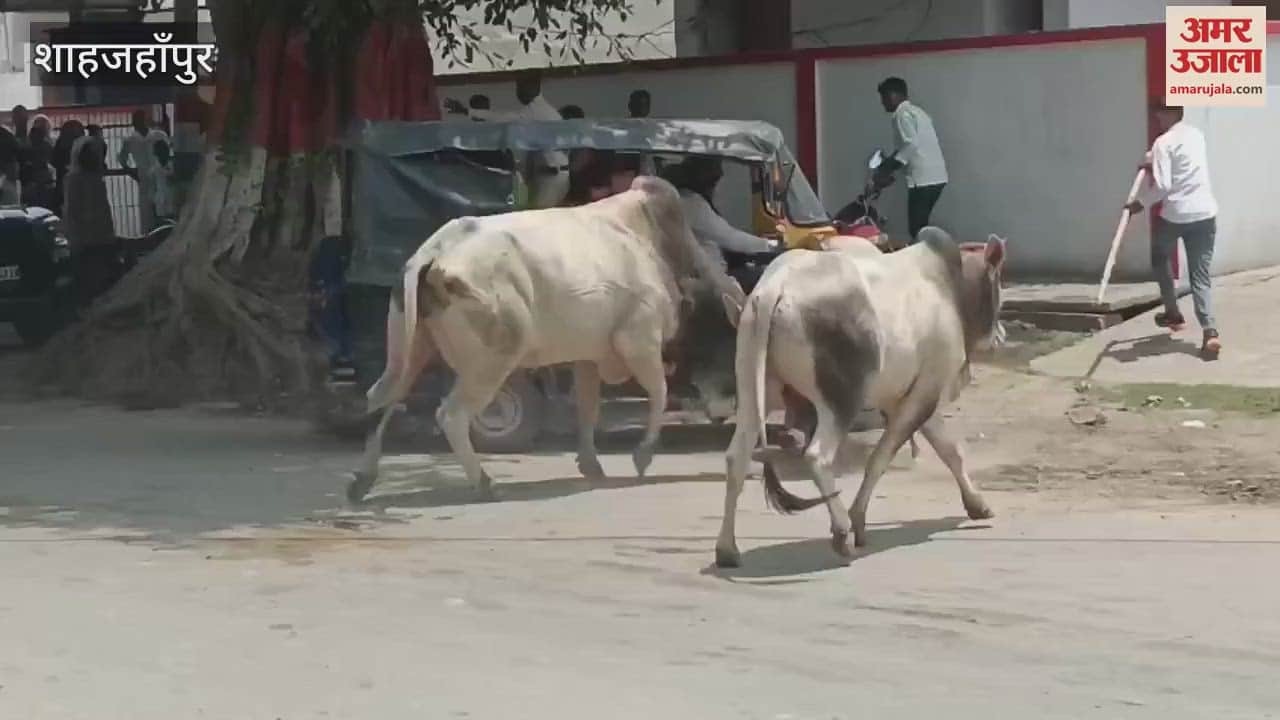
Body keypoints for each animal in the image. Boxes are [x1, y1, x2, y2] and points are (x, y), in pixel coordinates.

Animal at [348, 175, 745, 504]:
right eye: (732, 338)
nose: (732, 403)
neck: (658, 250)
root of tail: (435, 254)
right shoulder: (638, 341)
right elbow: (660, 392)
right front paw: (643, 456)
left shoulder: (589, 356)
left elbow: (588, 408)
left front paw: (591, 465)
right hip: (493, 361)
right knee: (451, 414)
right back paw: (485, 483)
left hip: (411, 350)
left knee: (382, 398)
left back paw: (362, 481)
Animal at [715, 227, 1007, 568]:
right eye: (998, 285)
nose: (1001, 335)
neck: (951, 286)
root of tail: (775, 288)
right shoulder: (925, 391)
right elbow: (880, 458)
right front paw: (857, 520)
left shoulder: (913, 394)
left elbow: (950, 451)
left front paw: (977, 505)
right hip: (842, 400)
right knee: (817, 456)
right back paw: (841, 534)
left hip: (754, 388)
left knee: (736, 457)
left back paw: (727, 549)